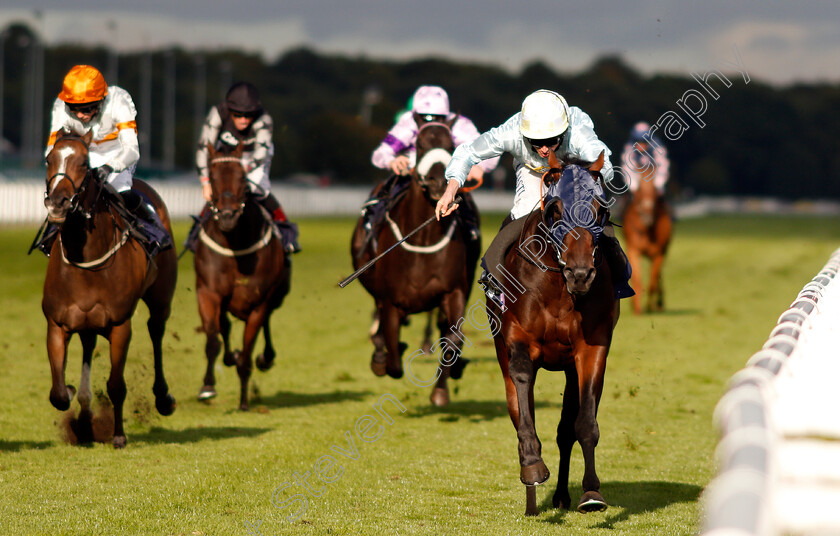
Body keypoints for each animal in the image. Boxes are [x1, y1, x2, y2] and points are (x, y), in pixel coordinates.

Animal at [41, 130, 176, 448]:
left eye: (83, 162)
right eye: (49, 159)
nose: (58, 203)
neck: (86, 259)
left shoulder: (119, 325)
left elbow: (116, 385)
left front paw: (118, 435)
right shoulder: (57, 323)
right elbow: (58, 393)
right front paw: (76, 405)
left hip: (161, 296)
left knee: (156, 331)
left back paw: (163, 398)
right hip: (88, 323)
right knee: (89, 347)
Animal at [194, 142, 292, 410]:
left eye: (242, 178)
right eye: (212, 177)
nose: (227, 216)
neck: (235, 245)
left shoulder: (259, 302)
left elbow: (249, 347)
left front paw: (244, 401)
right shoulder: (208, 292)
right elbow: (213, 340)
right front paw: (207, 387)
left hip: (276, 295)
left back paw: (263, 358)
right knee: (225, 327)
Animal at [350, 120, 480, 406]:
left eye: (450, 143)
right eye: (419, 144)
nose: (438, 181)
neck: (423, 238)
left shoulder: (454, 292)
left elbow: (453, 339)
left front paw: (444, 387)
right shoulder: (391, 301)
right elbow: (394, 361)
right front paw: (386, 354)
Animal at [492, 150, 616, 516]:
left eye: (600, 208)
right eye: (555, 209)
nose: (580, 273)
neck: (559, 290)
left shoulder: (590, 349)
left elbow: (583, 424)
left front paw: (591, 492)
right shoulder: (518, 340)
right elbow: (523, 406)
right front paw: (533, 465)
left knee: (565, 430)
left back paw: (561, 495)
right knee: (517, 410)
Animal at [624, 168, 676, 312]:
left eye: (654, 190)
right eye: (640, 190)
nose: (647, 216)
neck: (647, 231)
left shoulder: (659, 253)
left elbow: (653, 280)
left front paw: (650, 305)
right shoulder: (633, 250)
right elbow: (637, 279)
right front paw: (637, 307)